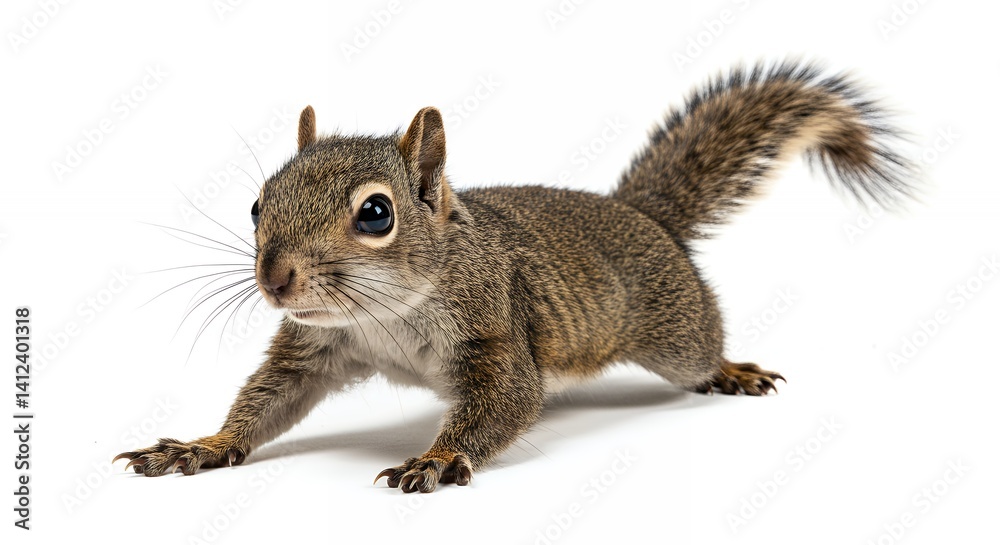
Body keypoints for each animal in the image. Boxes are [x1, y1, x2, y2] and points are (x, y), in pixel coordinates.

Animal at [115, 61, 913, 492]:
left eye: (376, 213)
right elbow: (267, 401)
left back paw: (730, 370)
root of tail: (643, 217)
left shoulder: (496, 327)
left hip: (675, 334)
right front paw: (201, 446)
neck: (385, 312)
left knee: (698, 354)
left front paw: (437, 458)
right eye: (257, 204)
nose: (275, 279)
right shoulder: (314, 350)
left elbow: (508, 398)